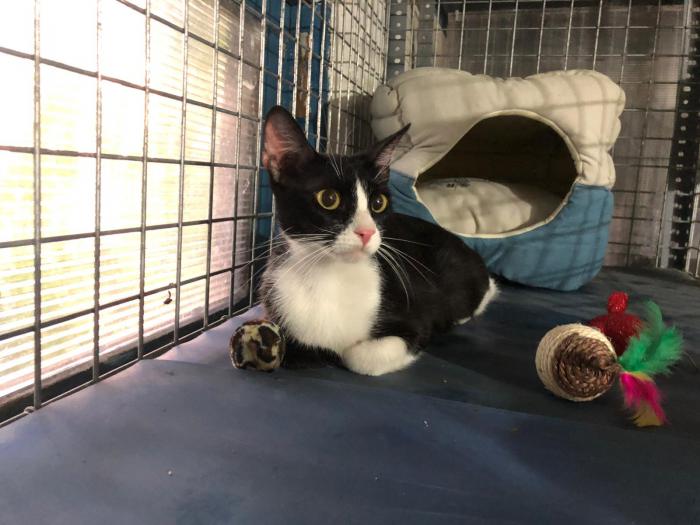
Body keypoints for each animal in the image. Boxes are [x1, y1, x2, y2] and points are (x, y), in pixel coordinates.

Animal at [240, 105, 497, 376]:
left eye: (378, 203)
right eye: (328, 198)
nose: (367, 232)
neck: (330, 275)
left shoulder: (415, 321)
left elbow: (358, 356)